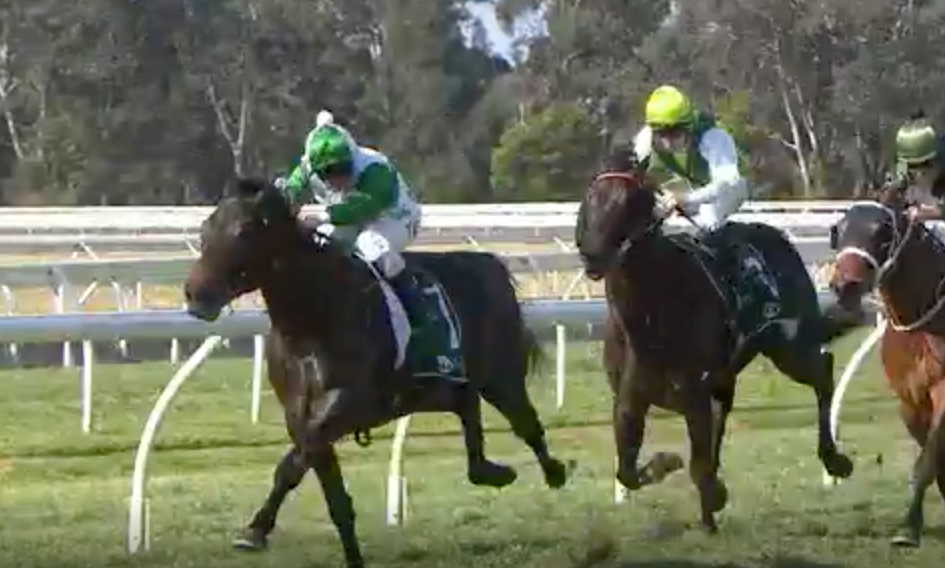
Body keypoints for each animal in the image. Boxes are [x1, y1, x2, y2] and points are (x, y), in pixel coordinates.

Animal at [183, 178, 573, 568]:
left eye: (245, 230)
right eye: (204, 229)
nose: (195, 293)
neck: (313, 319)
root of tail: (490, 264)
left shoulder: (343, 406)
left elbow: (290, 466)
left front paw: (255, 530)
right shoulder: (300, 415)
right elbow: (334, 498)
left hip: (501, 377)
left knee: (527, 424)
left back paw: (555, 471)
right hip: (453, 386)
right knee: (470, 416)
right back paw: (494, 471)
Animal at [574, 151, 858, 533]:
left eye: (630, 200)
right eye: (592, 196)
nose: (592, 255)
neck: (652, 313)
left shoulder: (693, 394)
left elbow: (697, 464)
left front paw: (711, 493)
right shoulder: (629, 400)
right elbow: (628, 471)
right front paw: (670, 467)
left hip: (789, 346)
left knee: (823, 372)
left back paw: (834, 459)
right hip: (731, 374)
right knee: (724, 413)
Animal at [829, 188, 945, 547]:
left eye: (883, 231)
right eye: (839, 229)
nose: (845, 286)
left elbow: (927, 461)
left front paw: (909, 528)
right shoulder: (910, 400)